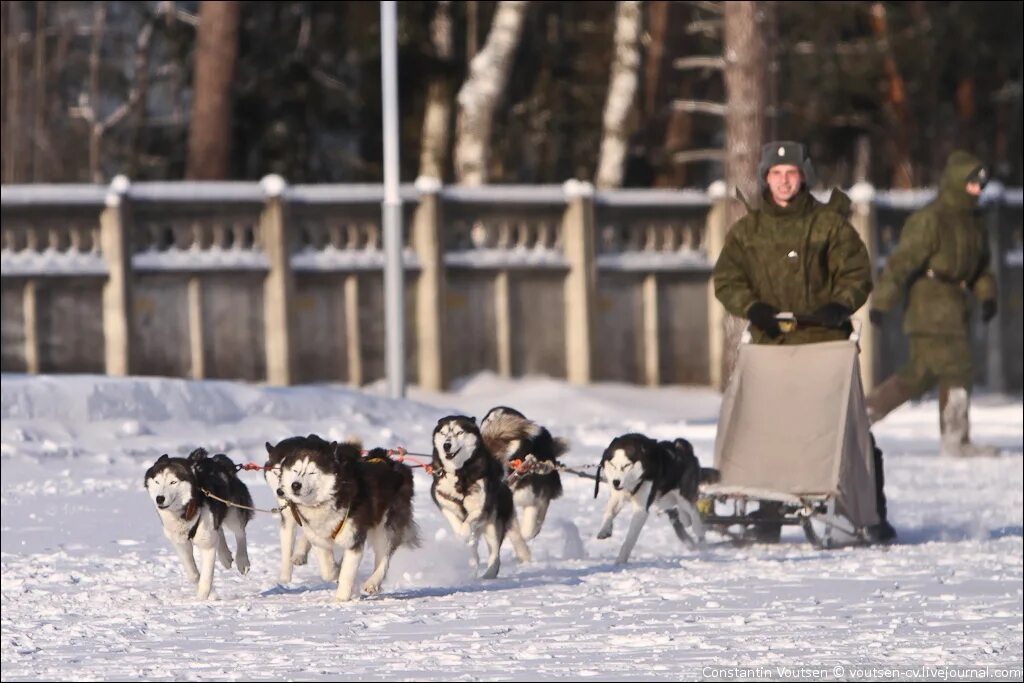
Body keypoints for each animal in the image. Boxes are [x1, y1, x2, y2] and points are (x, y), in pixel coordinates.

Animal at [144, 450, 253, 602]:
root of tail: (217, 460)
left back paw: (242, 560)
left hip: (233, 512)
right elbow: (193, 575)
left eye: (173, 482)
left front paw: (201, 600)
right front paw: (211, 594)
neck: (185, 511)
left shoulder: (207, 546)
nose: (159, 498)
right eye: (157, 481)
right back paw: (225, 556)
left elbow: (206, 578)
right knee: (219, 531)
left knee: (240, 533)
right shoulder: (181, 543)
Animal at [272, 436, 419, 602]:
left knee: (384, 558)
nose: (295, 485)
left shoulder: (354, 540)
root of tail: (391, 462)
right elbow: (328, 570)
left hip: (386, 527)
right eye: (295, 470)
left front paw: (342, 598)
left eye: (312, 472)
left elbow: (348, 572)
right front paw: (336, 573)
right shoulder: (319, 538)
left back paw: (373, 582)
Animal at [430, 417, 532, 577]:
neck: (460, 473)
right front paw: (461, 534)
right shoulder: (442, 499)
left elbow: (469, 520)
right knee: (475, 554)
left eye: (459, 432)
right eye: (443, 433)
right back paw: (472, 564)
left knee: (495, 554)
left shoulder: (481, 508)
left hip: (493, 528)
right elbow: (453, 519)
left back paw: (489, 573)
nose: (447, 445)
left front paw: (464, 532)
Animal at [593, 436, 712, 565]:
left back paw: (698, 531)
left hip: (683, 494)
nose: (616, 482)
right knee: (683, 513)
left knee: (693, 511)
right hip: (665, 498)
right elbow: (609, 512)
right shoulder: (617, 496)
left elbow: (630, 539)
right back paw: (685, 518)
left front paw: (620, 560)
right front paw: (605, 529)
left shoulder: (641, 509)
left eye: (627, 465)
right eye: (613, 465)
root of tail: (684, 448)